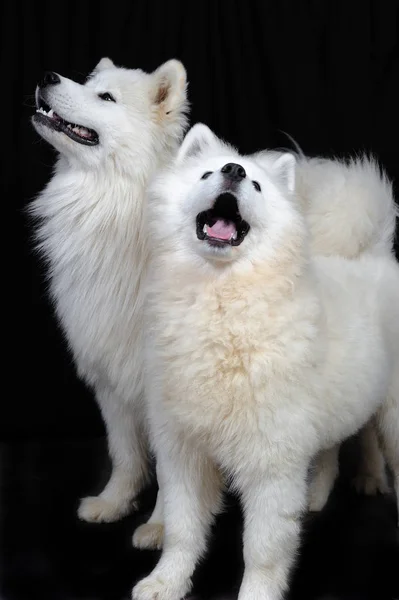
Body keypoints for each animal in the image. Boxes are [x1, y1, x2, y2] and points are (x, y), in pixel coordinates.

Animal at [133, 123, 398, 600]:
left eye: (256, 184)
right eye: (207, 174)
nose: (234, 171)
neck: (221, 301)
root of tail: (378, 257)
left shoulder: (271, 462)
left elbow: (262, 548)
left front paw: (256, 593)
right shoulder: (183, 451)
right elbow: (182, 529)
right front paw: (165, 582)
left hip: (392, 414)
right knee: (336, 446)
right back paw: (318, 495)